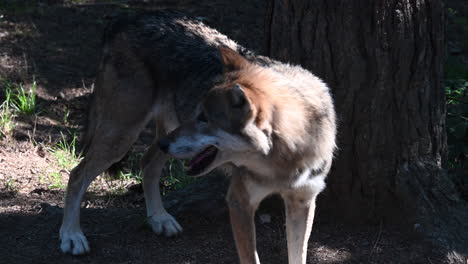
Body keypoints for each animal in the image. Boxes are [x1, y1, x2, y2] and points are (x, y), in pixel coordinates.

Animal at [59, 9, 336, 264]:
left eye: (203, 118)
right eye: (198, 112)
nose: (165, 144)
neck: (285, 159)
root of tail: (127, 17)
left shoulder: (303, 202)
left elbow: (298, 255)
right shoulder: (239, 201)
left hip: (159, 134)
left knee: (147, 163)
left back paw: (159, 219)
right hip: (125, 136)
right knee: (77, 174)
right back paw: (72, 236)